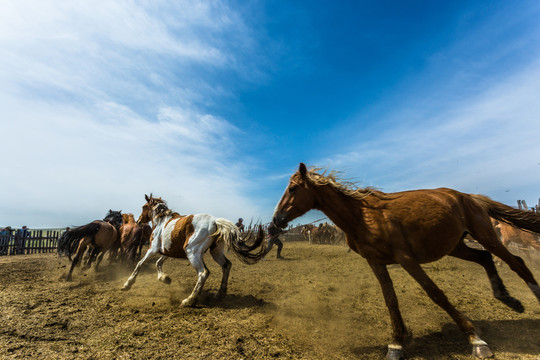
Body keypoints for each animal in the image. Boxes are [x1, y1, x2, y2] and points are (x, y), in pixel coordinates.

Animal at [121, 194, 266, 306]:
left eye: (144, 207)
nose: (139, 221)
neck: (162, 221)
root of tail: (215, 221)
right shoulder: (168, 251)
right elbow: (158, 263)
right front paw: (165, 278)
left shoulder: (153, 249)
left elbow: (140, 264)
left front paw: (127, 284)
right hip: (216, 252)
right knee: (226, 265)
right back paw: (220, 294)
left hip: (192, 252)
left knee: (203, 273)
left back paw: (189, 300)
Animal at [270, 164, 540, 360]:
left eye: (292, 189)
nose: (276, 220)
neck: (361, 216)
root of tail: (468, 197)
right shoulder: (376, 262)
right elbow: (390, 300)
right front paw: (396, 344)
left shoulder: (406, 258)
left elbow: (436, 294)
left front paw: (476, 340)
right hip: (456, 245)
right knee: (485, 258)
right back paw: (507, 298)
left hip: (485, 235)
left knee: (517, 262)